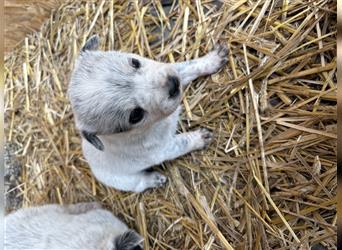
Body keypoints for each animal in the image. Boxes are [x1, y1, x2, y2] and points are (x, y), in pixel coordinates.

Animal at [68, 34, 228, 191]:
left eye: (135, 62)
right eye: (135, 115)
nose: (173, 84)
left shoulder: (172, 69)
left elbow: (188, 66)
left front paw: (213, 59)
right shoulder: (164, 149)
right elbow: (184, 142)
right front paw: (200, 138)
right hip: (125, 181)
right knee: (139, 184)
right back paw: (154, 179)